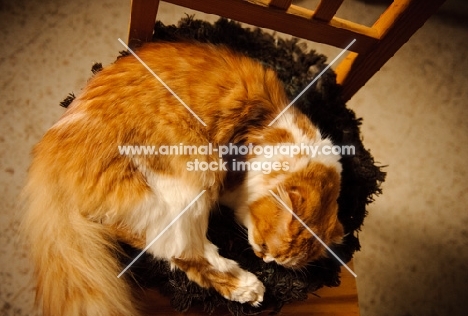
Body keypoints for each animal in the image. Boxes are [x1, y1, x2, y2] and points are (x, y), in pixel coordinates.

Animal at [22, 42, 344, 316]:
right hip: (188, 183)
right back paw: (250, 289)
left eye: (275, 257)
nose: (265, 260)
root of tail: (50, 148)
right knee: (186, 255)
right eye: (265, 247)